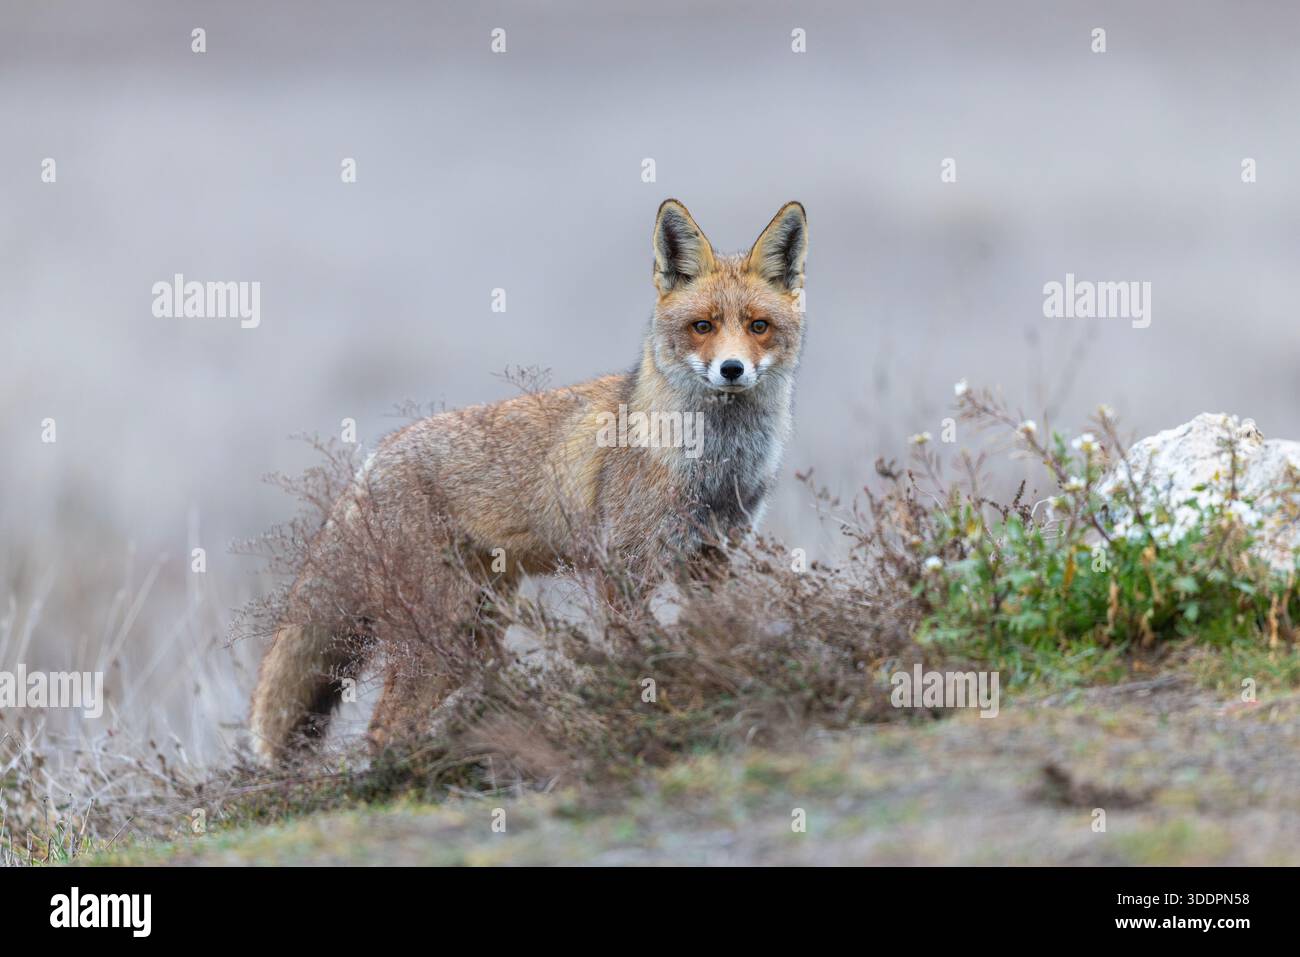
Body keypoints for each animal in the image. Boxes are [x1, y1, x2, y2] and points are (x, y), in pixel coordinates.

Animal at [249, 198, 808, 763]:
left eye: (758, 326)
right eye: (702, 325)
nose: (732, 369)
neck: (715, 465)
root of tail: (372, 461)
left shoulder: (713, 555)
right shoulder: (623, 568)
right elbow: (642, 655)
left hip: (477, 628)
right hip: (440, 632)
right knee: (384, 728)